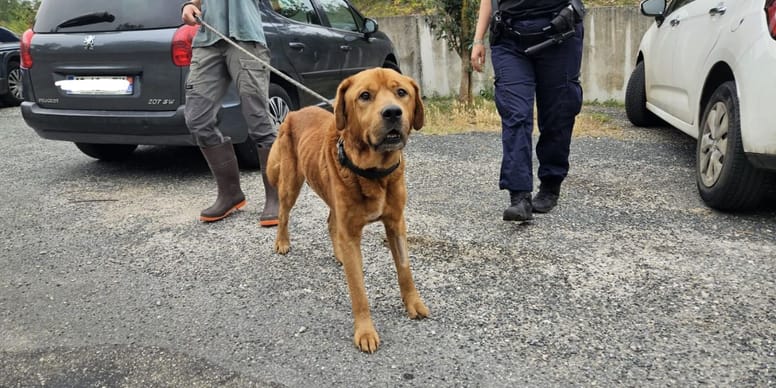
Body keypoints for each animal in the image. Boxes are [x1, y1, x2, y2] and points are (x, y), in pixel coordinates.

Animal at [266, 68, 424, 354]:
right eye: (365, 96)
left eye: (401, 92)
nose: (392, 113)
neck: (374, 172)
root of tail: (293, 113)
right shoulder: (351, 233)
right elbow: (359, 291)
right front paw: (365, 332)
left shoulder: (396, 223)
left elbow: (405, 270)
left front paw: (413, 304)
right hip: (290, 184)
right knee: (284, 214)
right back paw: (282, 242)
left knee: (330, 222)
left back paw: (338, 254)